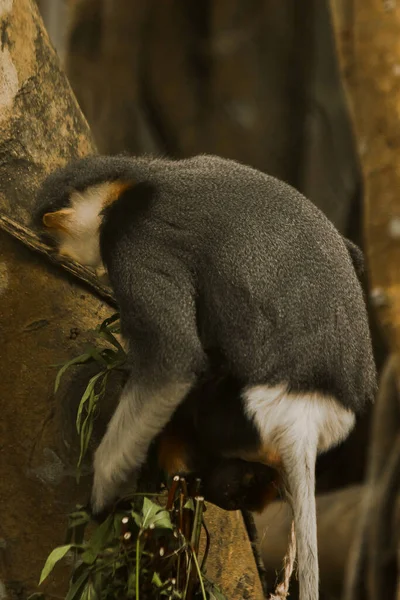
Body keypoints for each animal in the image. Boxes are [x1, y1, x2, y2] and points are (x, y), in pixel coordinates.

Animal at [33, 155, 376, 600]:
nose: (64, 253)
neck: (142, 177)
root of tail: (306, 421)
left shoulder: (135, 239)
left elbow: (173, 360)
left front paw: (102, 491)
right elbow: (352, 252)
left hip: (239, 419)